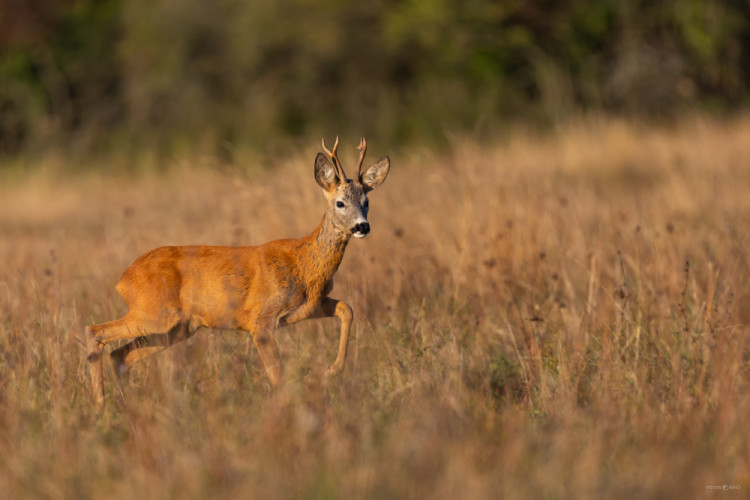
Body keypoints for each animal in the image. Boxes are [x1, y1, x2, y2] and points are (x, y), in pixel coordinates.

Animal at [86, 136, 394, 406]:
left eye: (367, 202)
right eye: (340, 203)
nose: (362, 226)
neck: (305, 264)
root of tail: (123, 278)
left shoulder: (310, 306)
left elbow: (347, 309)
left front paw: (332, 370)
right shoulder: (261, 318)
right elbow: (277, 374)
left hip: (178, 327)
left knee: (121, 356)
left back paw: (123, 406)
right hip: (156, 313)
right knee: (95, 331)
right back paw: (100, 405)